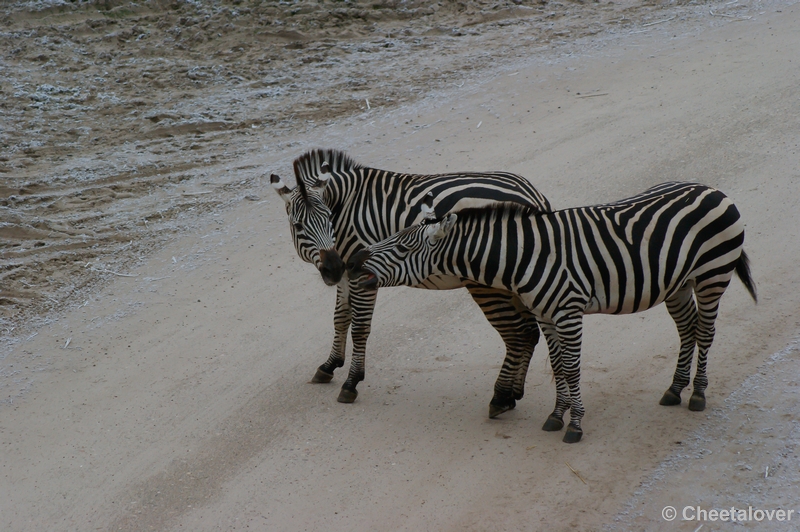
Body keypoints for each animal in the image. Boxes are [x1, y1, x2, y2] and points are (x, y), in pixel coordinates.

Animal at [272, 149, 552, 416]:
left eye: (329, 218)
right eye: (298, 225)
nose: (332, 269)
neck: (347, 209)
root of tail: (533, 195)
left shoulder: (360, 272)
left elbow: (359, 326)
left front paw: (351, 382)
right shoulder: (345, 271)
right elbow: (340, 317)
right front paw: (329, 366)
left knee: (520, 331)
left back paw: (504, 397)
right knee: (529, 331)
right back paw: (512, 394)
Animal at [350, 181, 756, 442]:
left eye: (403, 249)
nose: (355, 261)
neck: (524, 256)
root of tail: (712, 190)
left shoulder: (568, 312)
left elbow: (573, 367)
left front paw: (575, 425)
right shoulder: (546, 313)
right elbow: (558, 366)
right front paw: (556, 417)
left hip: (713, 275)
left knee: (705, 332)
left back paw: (698, 394)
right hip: (679, 283)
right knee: (687, 330)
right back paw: (674, 389)